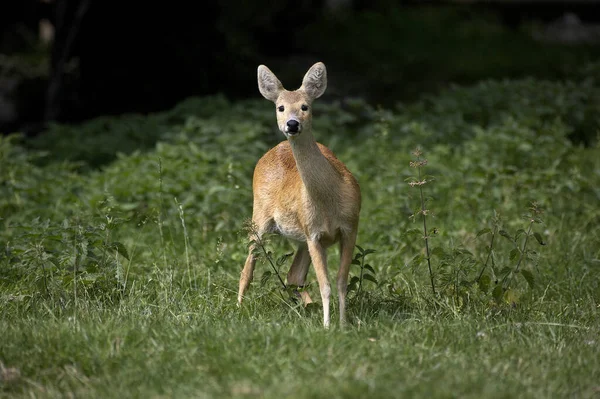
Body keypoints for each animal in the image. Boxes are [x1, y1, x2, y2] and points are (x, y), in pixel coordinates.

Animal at [238, 62, 360, 328]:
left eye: (305, 106)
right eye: (280, 107)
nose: (292, 124)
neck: (328, 201)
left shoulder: (349, 227)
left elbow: (340, 282)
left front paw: (343, 324)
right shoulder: (313, 233)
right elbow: (325, 285)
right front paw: (328, 326)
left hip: (302, 236)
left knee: (293, 275)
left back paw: (307, 307)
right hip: (259, 216)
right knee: (247, 268)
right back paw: (238, 308)